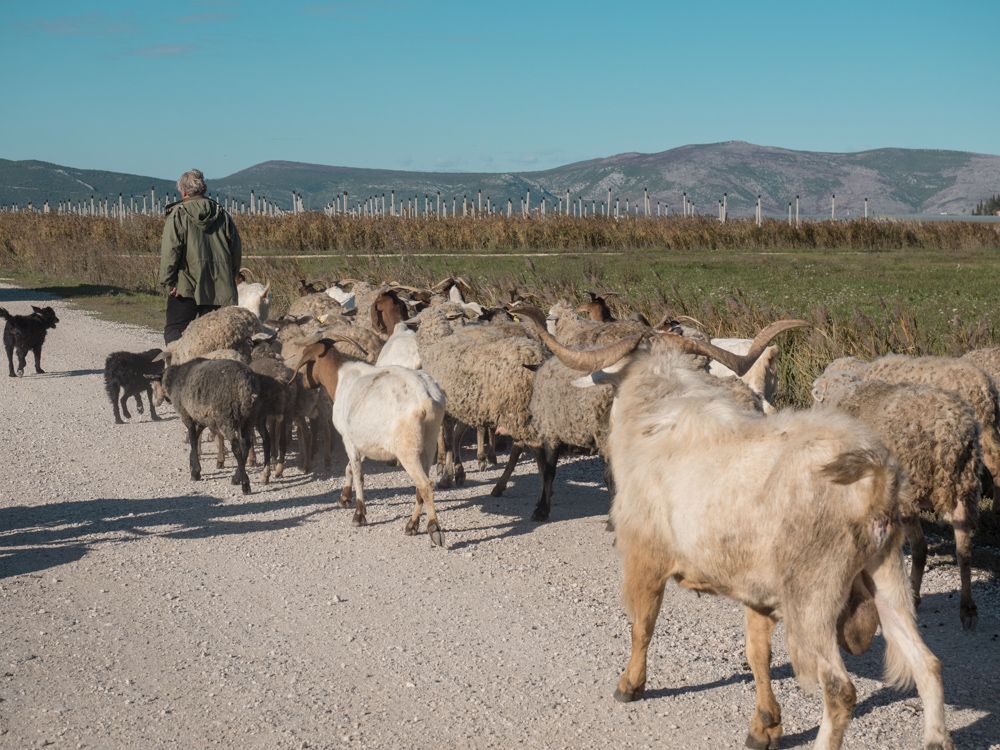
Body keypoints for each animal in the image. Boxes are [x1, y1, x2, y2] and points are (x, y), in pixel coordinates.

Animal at [556, 328, 952, 750]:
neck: (657, 413)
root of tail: (875, 479)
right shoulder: (756, 591)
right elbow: (757, 654)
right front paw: (765, 727)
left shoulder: (646, 559)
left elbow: (642, 625)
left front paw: (630, 686)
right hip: (887, 573)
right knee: (927, 664)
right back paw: (937, 738)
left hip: (813, 595)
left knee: (840, 690)